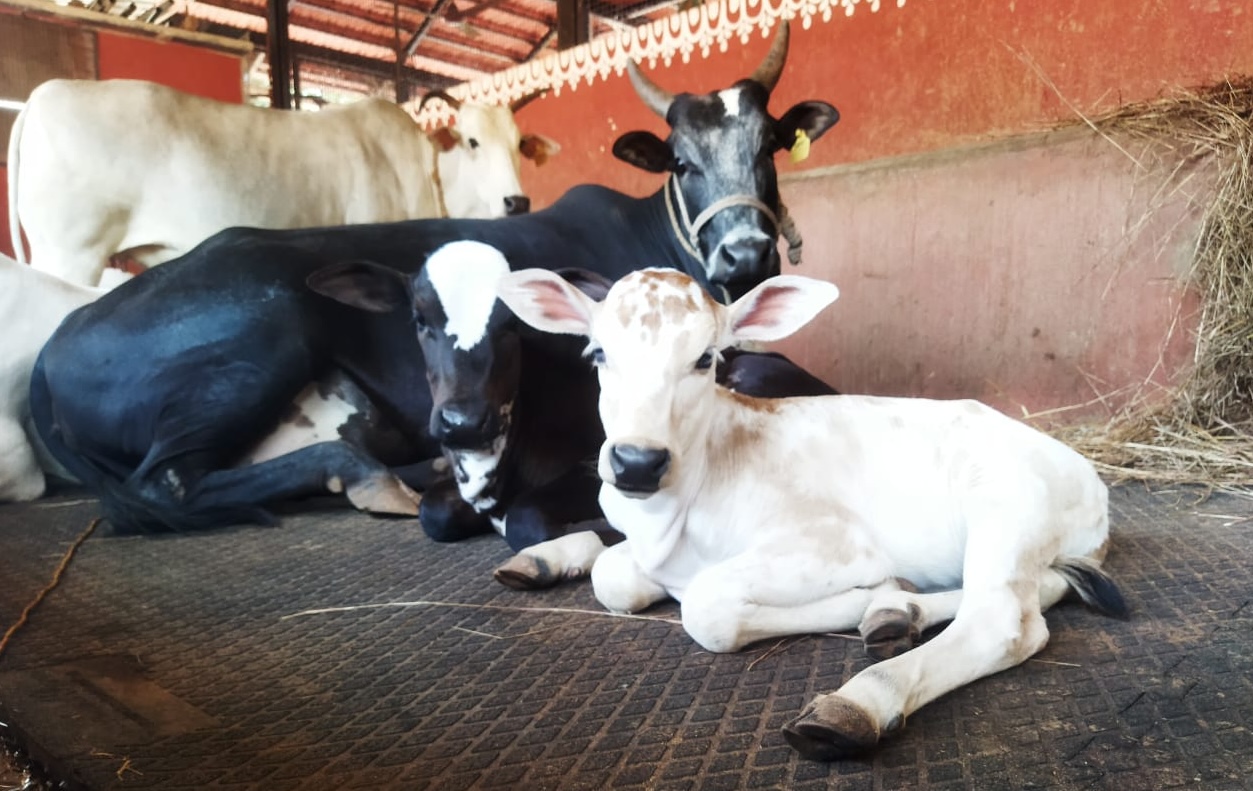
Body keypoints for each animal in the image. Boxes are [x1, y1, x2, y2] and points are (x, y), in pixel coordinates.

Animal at [495, 266, 1129, 760]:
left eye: (706, 359)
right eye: (598, 353)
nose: (637, 462)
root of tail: (1089, 477)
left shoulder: (836, 544)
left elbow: (706, 606)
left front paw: (863, 598)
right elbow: (614, 576)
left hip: (1005, 510)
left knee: (1004, 621)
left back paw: (859, 696)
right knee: (1042, 588)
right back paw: (896, 613)